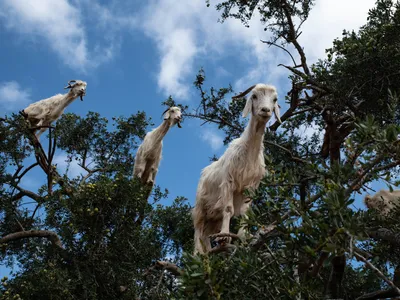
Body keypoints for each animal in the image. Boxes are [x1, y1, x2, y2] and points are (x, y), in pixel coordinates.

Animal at [191, 84, 282, 253]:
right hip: (200, 208)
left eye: (274, 99)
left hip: (213, 217)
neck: (249, 151)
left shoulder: (251, 186)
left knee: (206, 234)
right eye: (254, 96)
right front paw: (225, 236)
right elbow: (228, 209)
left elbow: (245, 212)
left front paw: (243, 236)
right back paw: (198, 254)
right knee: (198, 231)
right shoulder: (228, 181)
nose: (265, 110)